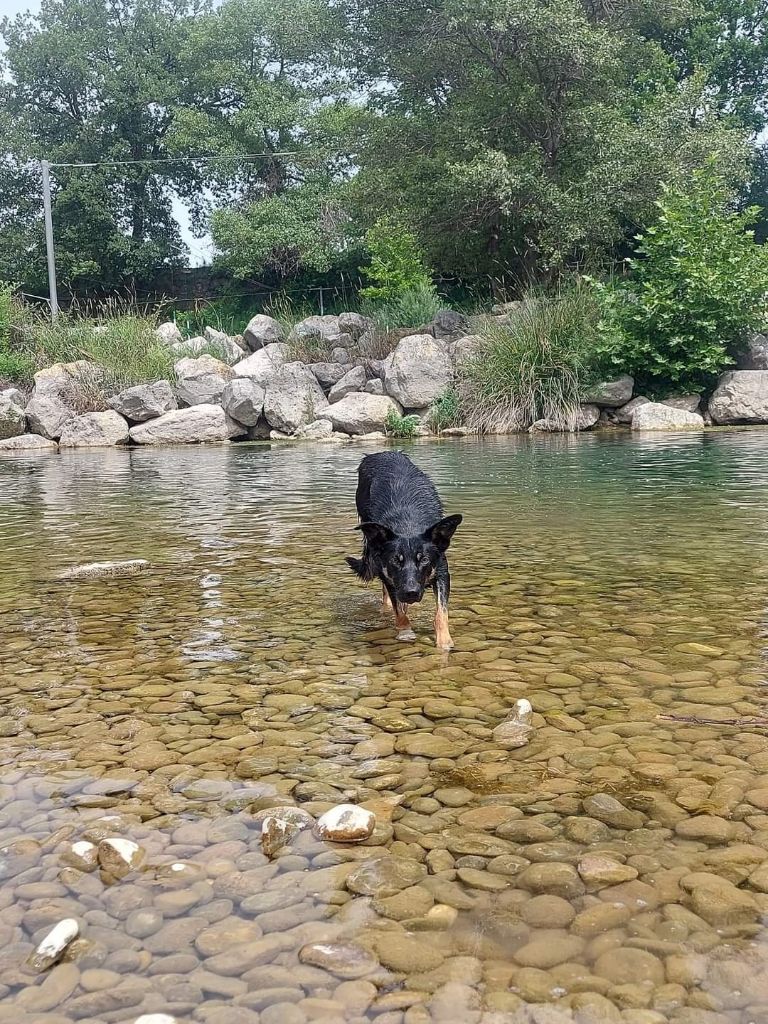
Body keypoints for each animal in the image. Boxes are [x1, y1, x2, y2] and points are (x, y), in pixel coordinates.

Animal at [348, 454, 462, 647]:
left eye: (424, 560)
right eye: (396, 560)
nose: (411, 593)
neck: (407, 525)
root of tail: (380, 454)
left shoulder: (441, 573)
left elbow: (441, 613)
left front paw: (445, 642)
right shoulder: (389, 576)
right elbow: (399, 611)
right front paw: (405, 632)